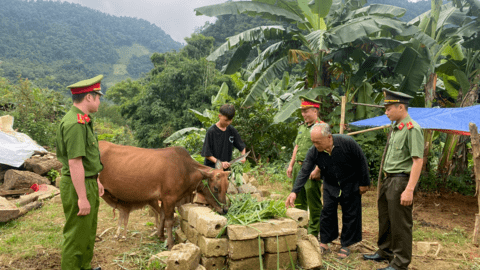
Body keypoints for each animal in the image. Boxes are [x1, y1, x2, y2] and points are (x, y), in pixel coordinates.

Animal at [97, 141, 229, 249]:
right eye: (216, 188)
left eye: (227, 187)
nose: (225, 209)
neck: (185, 169)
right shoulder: (169, 198)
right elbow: (169, 221)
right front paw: (170, 243)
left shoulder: (163, 199)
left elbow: (162, 216)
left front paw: (160, 236)